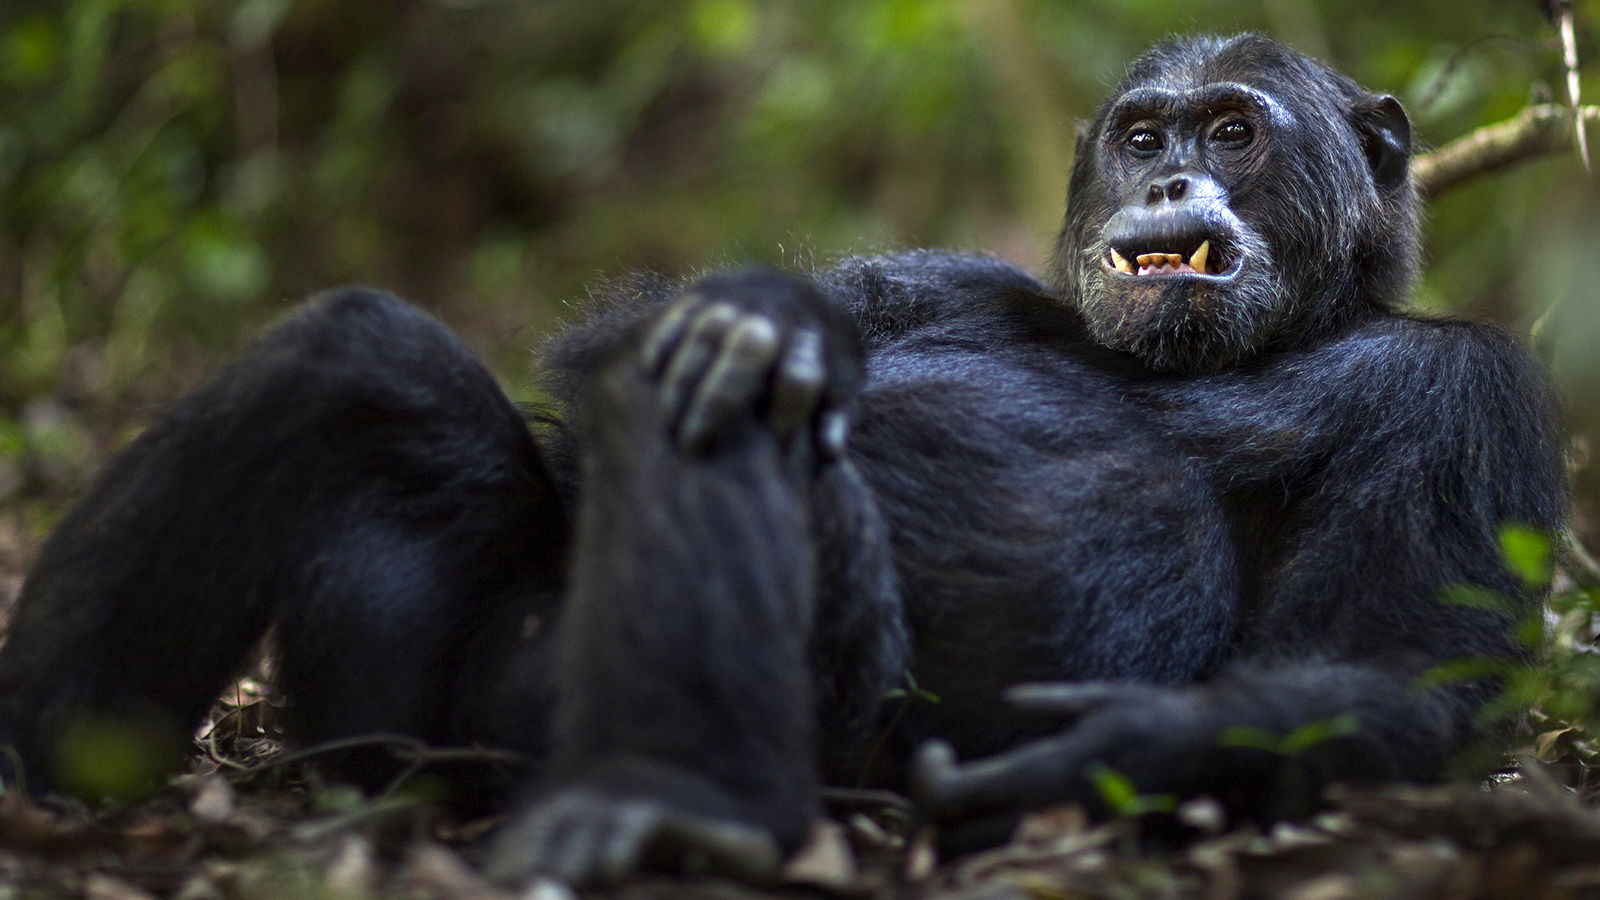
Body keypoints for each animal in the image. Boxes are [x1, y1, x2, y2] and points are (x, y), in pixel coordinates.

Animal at [0, 33, 1568, 883]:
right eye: (1143, 137)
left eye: (1236, 132)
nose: (1175, 176)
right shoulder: (956, 275)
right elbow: (638, 328)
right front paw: (778, 316)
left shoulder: (1473, 396)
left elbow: (1391, 675)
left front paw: (1103, 747)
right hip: (406, 724)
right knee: (363, 363)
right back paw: (47, 761)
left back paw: (666, 801)